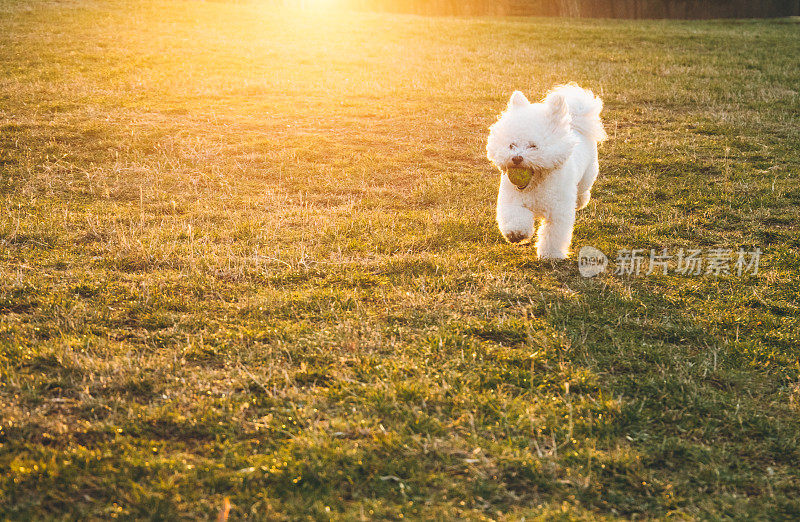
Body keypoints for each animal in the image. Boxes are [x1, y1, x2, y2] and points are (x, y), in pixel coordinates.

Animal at [484, 83, 608, 258]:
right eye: (511, 145)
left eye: (533, 146)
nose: (516, 158)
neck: (536, 184)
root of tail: (575, 124)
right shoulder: (512, 200)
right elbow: (515, 217)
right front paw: (517, 233)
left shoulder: (558, 212)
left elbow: (553, 234)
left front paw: (551, 255)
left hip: (588, 174)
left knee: (583, 190)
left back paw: (580, 201)